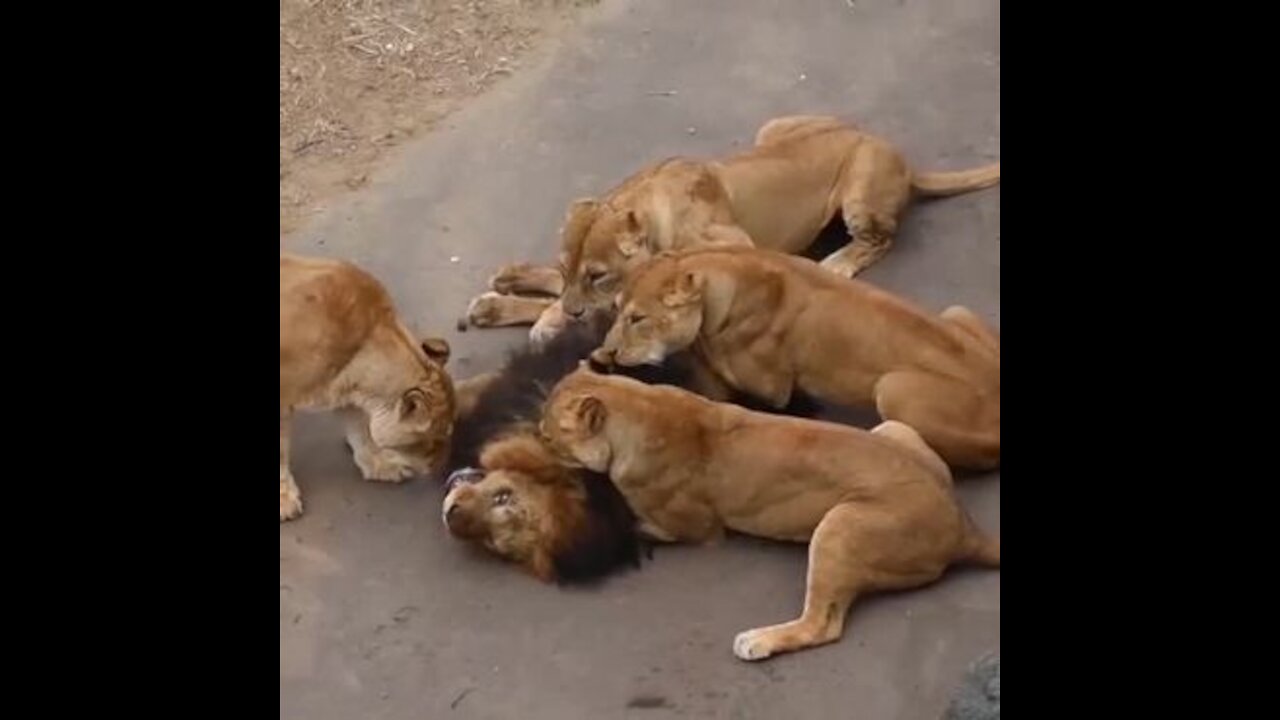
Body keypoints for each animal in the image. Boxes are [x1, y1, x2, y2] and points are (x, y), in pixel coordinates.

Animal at [280, 253, 455, 520]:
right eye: (431, 441)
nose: (440, 469)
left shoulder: (346, 391)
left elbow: (360, 430)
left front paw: (379, 464)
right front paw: (284, 500)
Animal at [468, 114, 998, 340]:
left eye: (598, 275)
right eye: (569, 267)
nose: (573, 311)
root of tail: (901, 158)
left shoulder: (733, 246)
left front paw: (545, 319)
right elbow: (550, 289)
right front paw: (508, 292)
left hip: (858, 190)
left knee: (879, 239)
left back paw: (838, 262)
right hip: (773, 128)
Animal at [540, 366, 998, 661]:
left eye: (548, 434)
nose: (535, 434)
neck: (638, 404)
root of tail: (963, 523)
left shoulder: (694, 530)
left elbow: (632, 525)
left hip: (841, 524)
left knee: (822, 625)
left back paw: (756, 641)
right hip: (895, 431)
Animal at [588, 245, 998, 471]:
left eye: (638, 318)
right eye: (616, 309)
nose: (610, 350)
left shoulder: (771, 391)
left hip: (892, 388)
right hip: (956, 312)